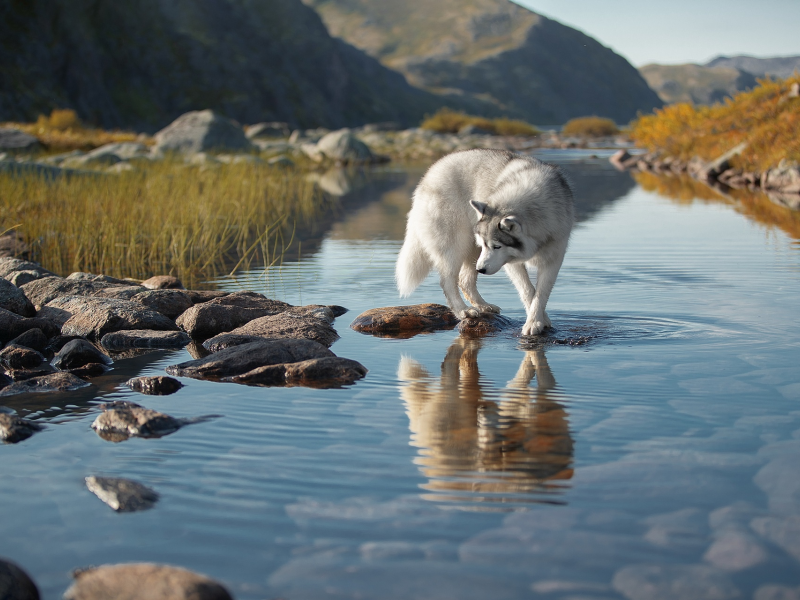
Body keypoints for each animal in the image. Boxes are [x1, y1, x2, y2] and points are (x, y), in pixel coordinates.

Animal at [396, 148, 572, 336]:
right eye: (488, 245)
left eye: (496, 246)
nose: (480, 269)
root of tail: (430, 173)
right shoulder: (512, 263)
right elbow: (528, 291)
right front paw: (537, 322)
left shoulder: (553, 258)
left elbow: (541, 294)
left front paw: (537, 320)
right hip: (457, 246)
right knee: (448, 281)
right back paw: (463, 310)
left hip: (471, 250)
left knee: (465, 280)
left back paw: (483, 306)